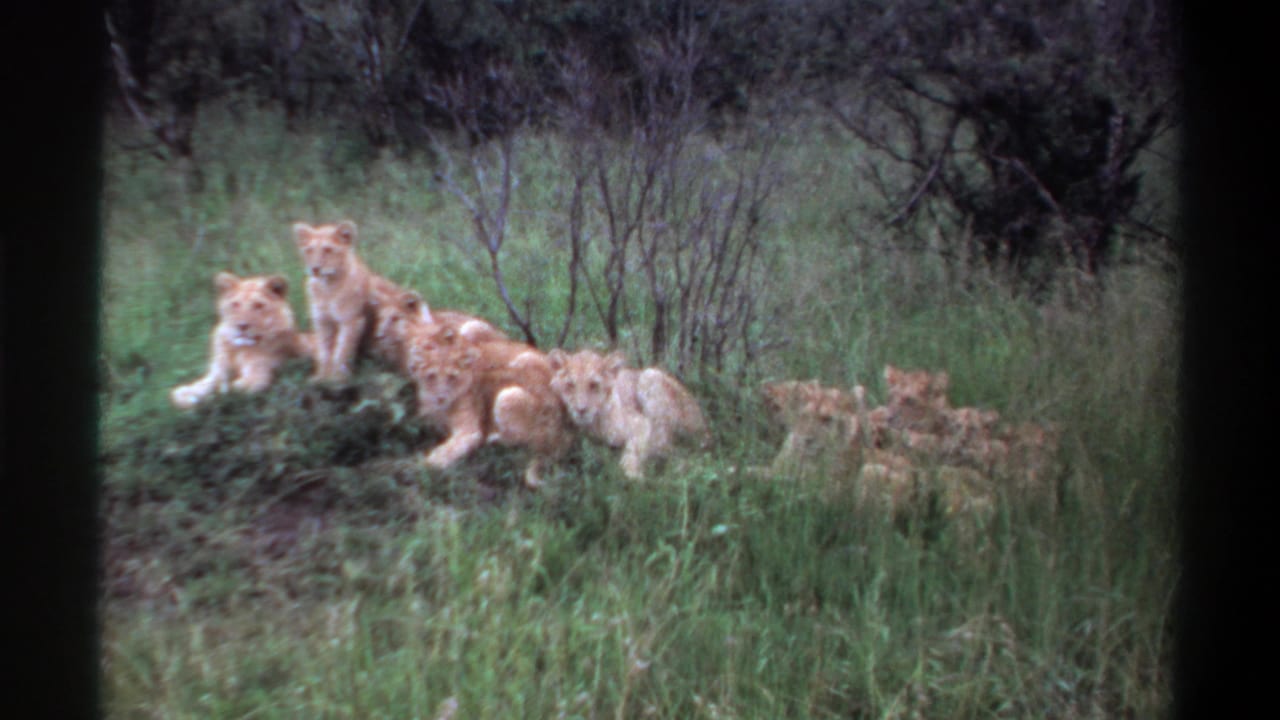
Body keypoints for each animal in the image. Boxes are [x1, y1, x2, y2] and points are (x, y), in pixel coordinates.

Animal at [169, 272, 313, 409]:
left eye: (258, 305)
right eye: (235, 304)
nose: (241, 326)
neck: (238, 349)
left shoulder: (257, 378)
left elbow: (228, 390)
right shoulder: (217, 371)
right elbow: (206, 384)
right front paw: (185, 394)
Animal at [293, 219, 413, 381]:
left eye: (328, 250)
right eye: (309, 250)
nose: (315, 269)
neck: (327, 287)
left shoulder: (352, 320)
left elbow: (342, 350)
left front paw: (337, 378)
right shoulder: (322, 320)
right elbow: (324, 350)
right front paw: (321, 377)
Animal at [407, 325, 572, 488]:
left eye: (452, 377)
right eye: (431, 376)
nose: (441, 397)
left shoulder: (470, 431)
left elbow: (449, 449)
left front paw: (423, 464)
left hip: (509, 395)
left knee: (524, 444)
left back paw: (493, 438)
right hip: (472, 328)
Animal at [547, 349, 709, 479]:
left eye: (594, 385)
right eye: (570, 385)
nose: (581, 409)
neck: (593, 424)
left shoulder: (641, 422)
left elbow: (633, 450)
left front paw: (633, 476)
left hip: (649, 376)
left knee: (673, 447)